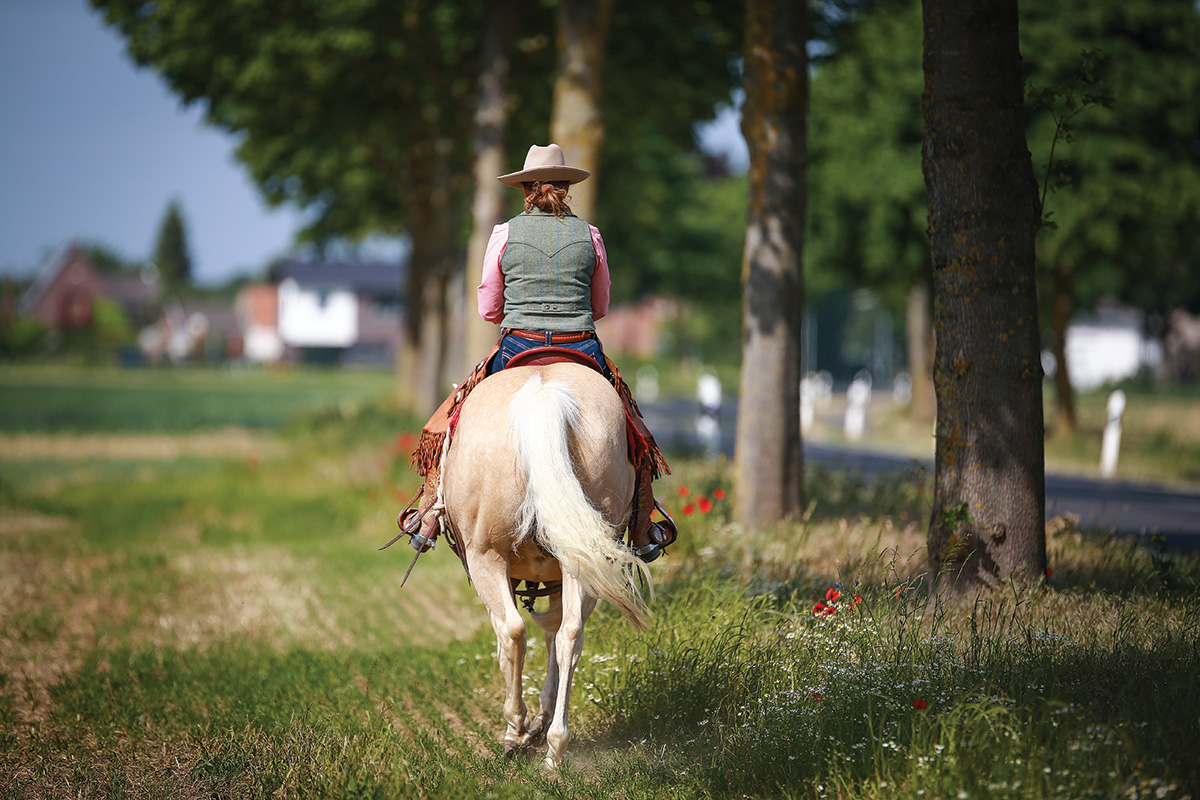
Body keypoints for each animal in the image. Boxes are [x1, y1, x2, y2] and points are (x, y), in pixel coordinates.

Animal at [441, 362, 652, 767]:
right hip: (583, 561)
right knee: (570, 635)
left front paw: (523, 728)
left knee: (513, 632)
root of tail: (542, 393)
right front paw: (543, 719)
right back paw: (556, 745)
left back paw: (515, 729)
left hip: (486, 556)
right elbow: (555, 635)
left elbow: (507, 640)